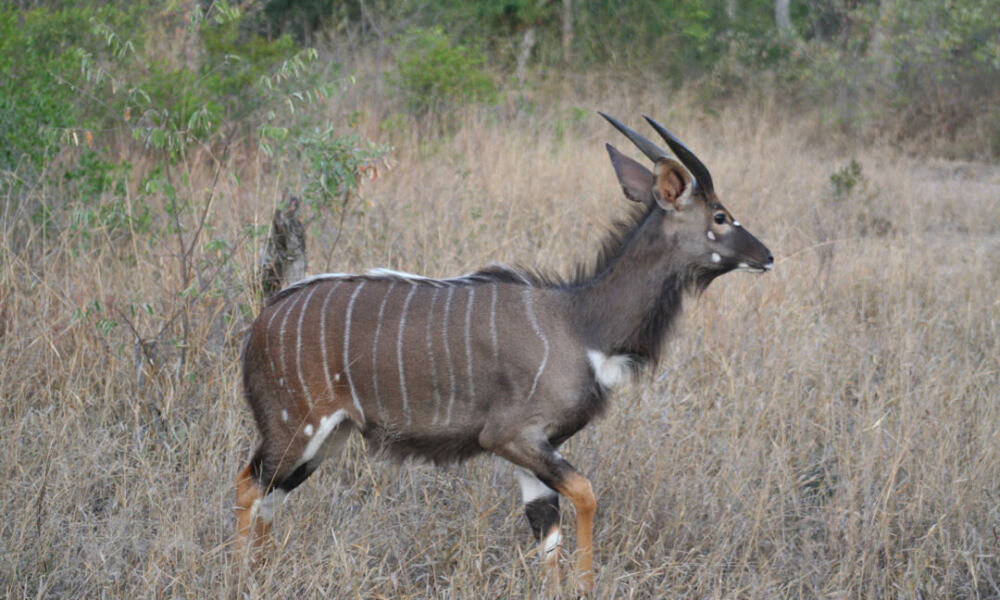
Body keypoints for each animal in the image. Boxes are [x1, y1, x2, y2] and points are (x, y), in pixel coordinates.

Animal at [236, 112, 772, 592]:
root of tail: (261, 323)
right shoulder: (511, 436)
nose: (766, 256)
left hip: (327, 439)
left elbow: (547, 532)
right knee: (250, 483)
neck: (581, 324)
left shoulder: (535, 450)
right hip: (296, 428)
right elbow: (586, 494)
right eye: (720, 216)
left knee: (269, 494)